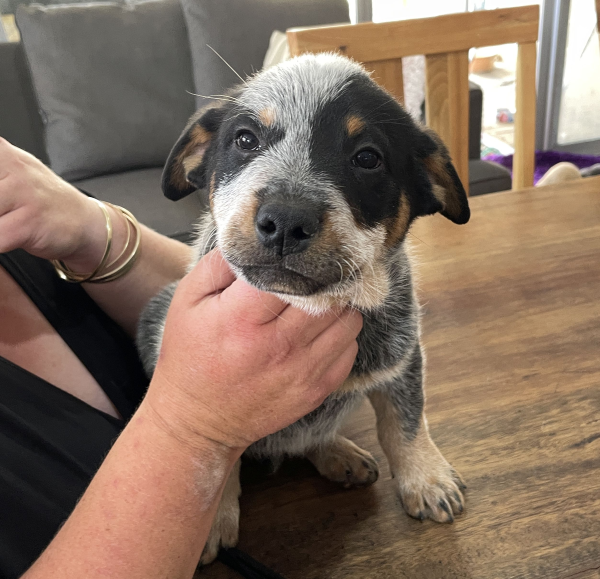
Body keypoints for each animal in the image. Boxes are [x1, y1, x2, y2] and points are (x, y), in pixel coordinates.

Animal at [138, 53, 472, 560]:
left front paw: (425, 476)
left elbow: (406, 420)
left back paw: (336, 452)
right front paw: (211, 516)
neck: (310, 306)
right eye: (245, 140)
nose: (285, 220)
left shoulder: (402, 355)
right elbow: (215, 458)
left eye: (367, 158)